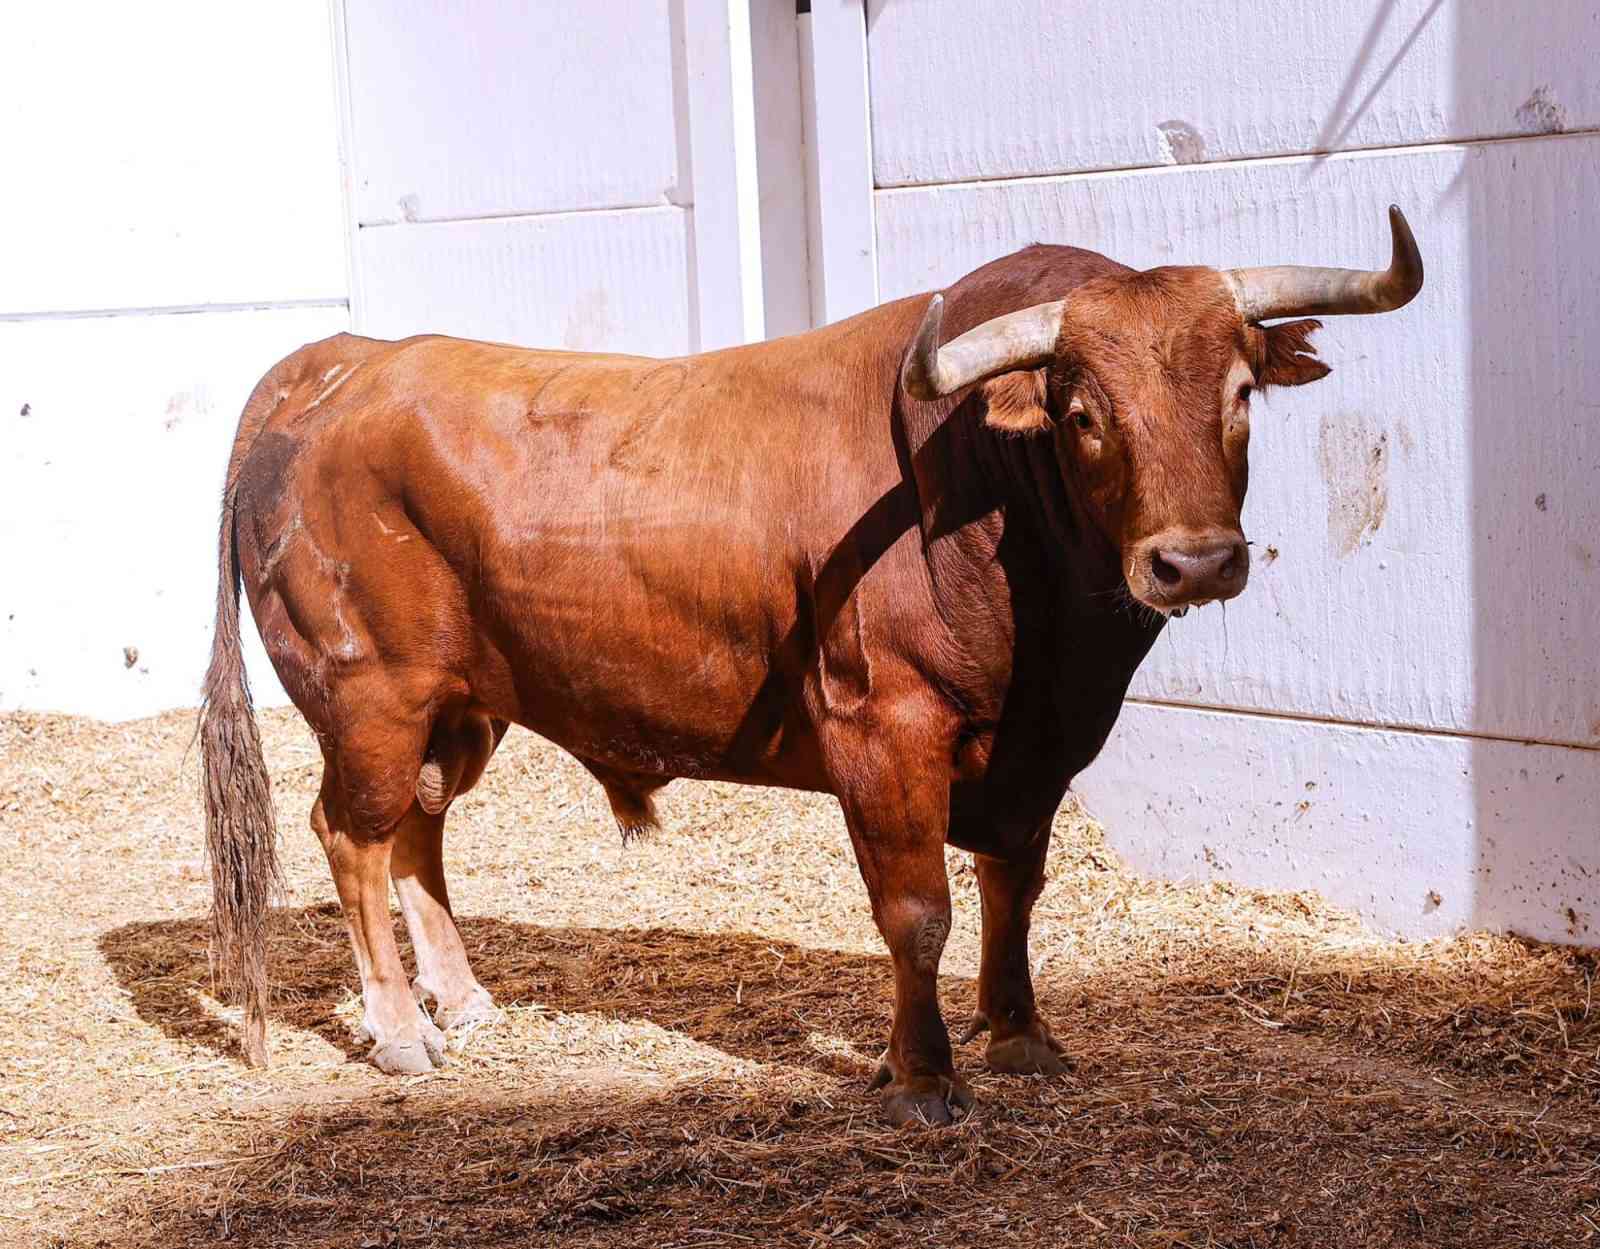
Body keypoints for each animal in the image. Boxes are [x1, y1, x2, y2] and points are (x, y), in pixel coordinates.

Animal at [202, 207, 1422, 1125]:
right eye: (1082, 413)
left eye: (1240, 395)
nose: (1195, 561)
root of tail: (343, 362)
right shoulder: (885, 730)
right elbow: (917, 910)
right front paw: (924, 1076)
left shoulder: (1037, 750)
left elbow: (1014, 888)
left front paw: (1021, 1034)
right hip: (370, 695)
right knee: (351, 835)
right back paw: (401, 1031)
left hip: (462, 705)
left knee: (418, 832)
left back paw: (460, 1002)